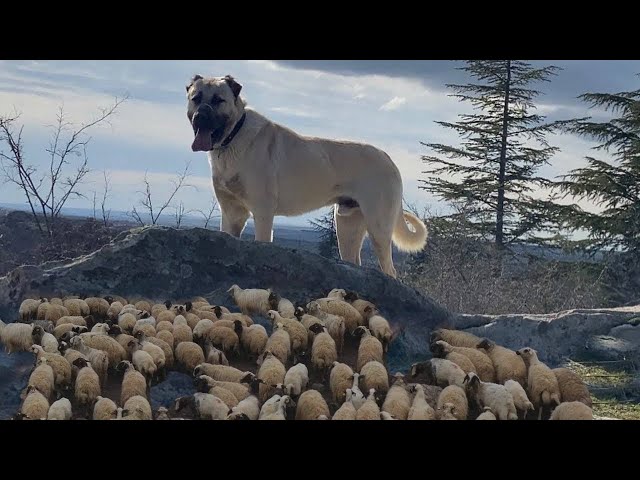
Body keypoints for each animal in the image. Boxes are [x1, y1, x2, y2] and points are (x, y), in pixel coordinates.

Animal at [186, 74, 424, 278]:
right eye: (195, 99)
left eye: (219, 100)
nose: (200, 118)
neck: (233, 137)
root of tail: (388, 158)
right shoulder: (231, 213)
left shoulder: (262, 213)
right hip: (347, 227)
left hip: (378, 228)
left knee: (389, 270)